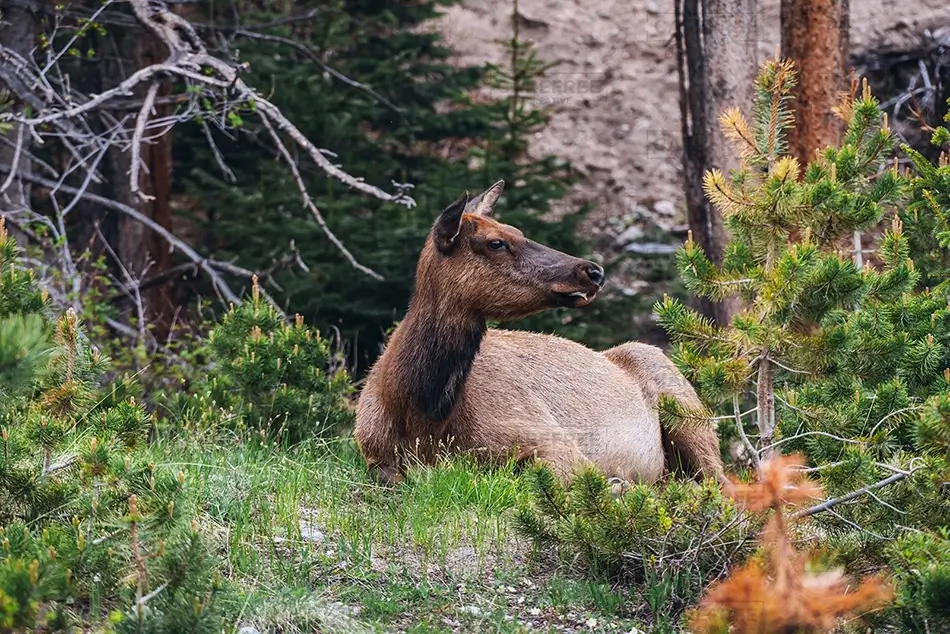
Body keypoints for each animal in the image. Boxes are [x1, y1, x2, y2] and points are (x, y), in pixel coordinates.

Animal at [354, 180, 727, 488]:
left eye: (516, 229)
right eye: (496, 242)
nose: (593, 271)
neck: (419, 420)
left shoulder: (550, 437)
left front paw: (616, 486)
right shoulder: (372, 454)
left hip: (685, 408)